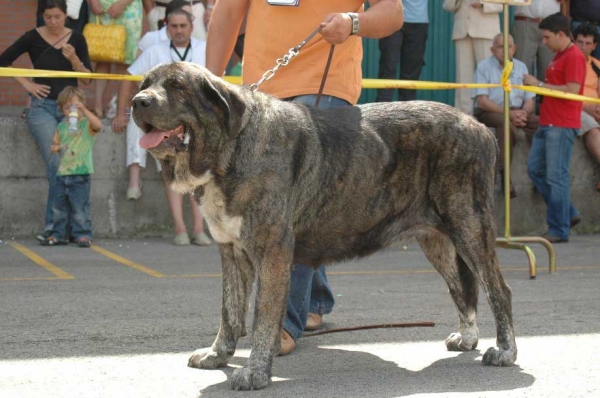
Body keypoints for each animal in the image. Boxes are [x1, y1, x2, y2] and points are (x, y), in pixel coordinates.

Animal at [131, 63, 516, 390]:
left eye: (177, 86)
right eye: (145, 83)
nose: (138, 102)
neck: (231, 148)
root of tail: (481, 128)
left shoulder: (271, 254)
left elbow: (262, 317)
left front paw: (255, 372)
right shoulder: (232, 252)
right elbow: (230, 311)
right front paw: (218, 354)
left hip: (469, 227)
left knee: (498, 289)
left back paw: (506, 351)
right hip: (437, 242)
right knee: (460, 288)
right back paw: (468, 337)